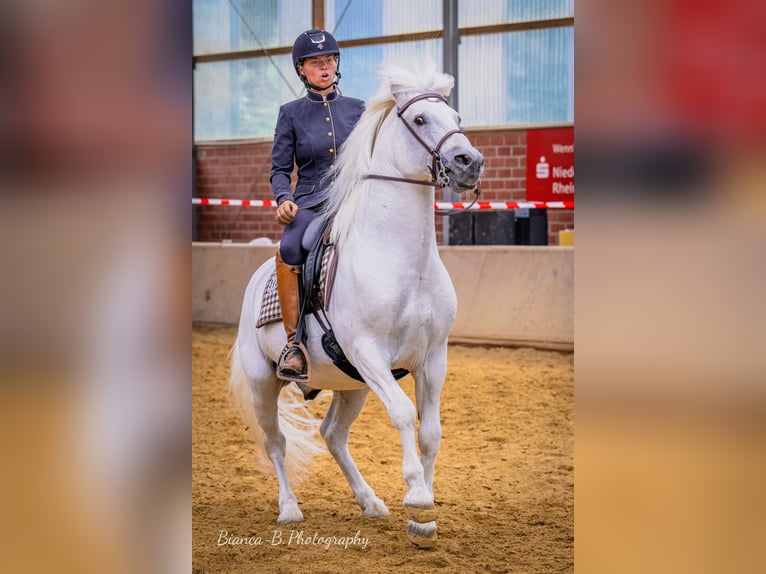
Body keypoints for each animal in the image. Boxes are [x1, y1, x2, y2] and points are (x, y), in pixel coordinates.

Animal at [229, 63, 484, 547]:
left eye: (458, 117)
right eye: (420, 119)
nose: (470, 162)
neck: (404, 260)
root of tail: (254, 280)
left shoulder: (432, 358)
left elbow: (431, 431)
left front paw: (423, 516)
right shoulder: (368, 352)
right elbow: (402, 412)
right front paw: (416, 495)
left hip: (352, 386)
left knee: (331, 434)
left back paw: (370, 502)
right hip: (264, 383)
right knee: (276, 443)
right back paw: (289, 509)